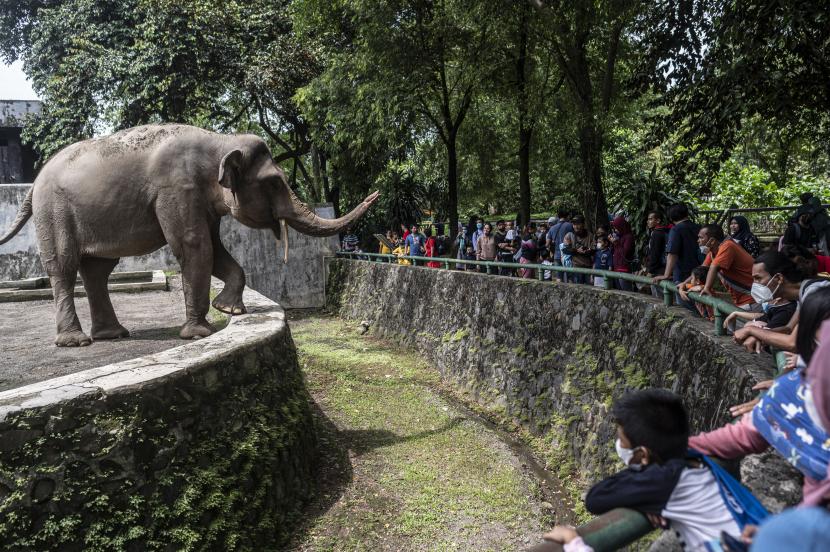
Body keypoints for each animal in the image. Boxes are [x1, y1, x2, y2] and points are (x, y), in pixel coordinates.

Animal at [0, 126, 380, 344]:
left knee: (97, 270)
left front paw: (230, 310)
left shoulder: (202, 200)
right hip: (54, 212)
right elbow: (195, 247)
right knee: (64, 266)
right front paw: (200, 333)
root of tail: (33, 186)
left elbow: (215, 248)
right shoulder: (177, 190)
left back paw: (113, 335)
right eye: (274, 182)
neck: (220, 142)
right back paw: (76, 341)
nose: (375, 194)